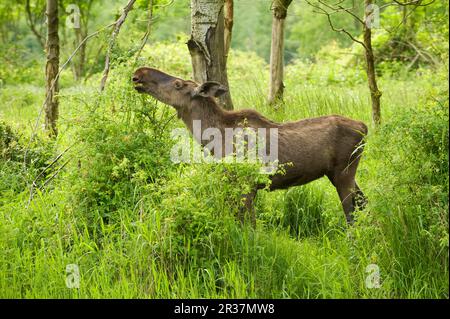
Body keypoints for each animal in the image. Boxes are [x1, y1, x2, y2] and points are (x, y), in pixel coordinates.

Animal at [132, 68, 368, 228]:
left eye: (178, 84)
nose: (139, 74)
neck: (213, 138)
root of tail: (365, 128)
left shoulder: (247, 183)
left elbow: (249, 224)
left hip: (344, 172)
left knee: (351, 212)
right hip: (337, 173)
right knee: (363, 201)